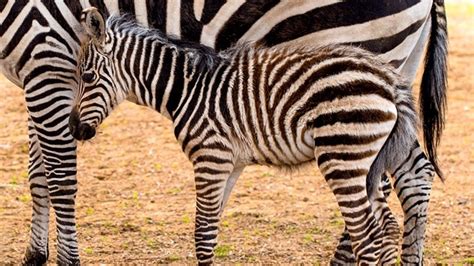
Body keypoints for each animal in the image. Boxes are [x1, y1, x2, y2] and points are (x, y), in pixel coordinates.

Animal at [0, 0, 444, 264]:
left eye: (88, 76)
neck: (186, 88)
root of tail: (386, 82)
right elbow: (209, 228)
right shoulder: (228, 162)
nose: (76, 128)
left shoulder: (44, 61)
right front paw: (35, 254)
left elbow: (58, 178)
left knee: (371, 224)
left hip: (352, 116)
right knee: (407, 188)